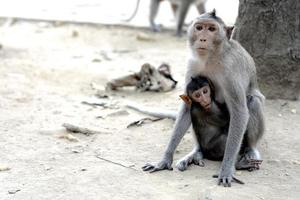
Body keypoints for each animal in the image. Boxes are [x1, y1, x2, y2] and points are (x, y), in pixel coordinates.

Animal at [142, 9, 264, 188]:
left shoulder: (231, 70)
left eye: (212, 29)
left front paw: (227, 168)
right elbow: (187, 106)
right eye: (199, 28)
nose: (203, 39)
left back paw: (250, 151)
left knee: (252, 101)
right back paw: (197, 152)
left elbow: (240, 111)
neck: (211, 58)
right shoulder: (193, 64)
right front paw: (164, 160)